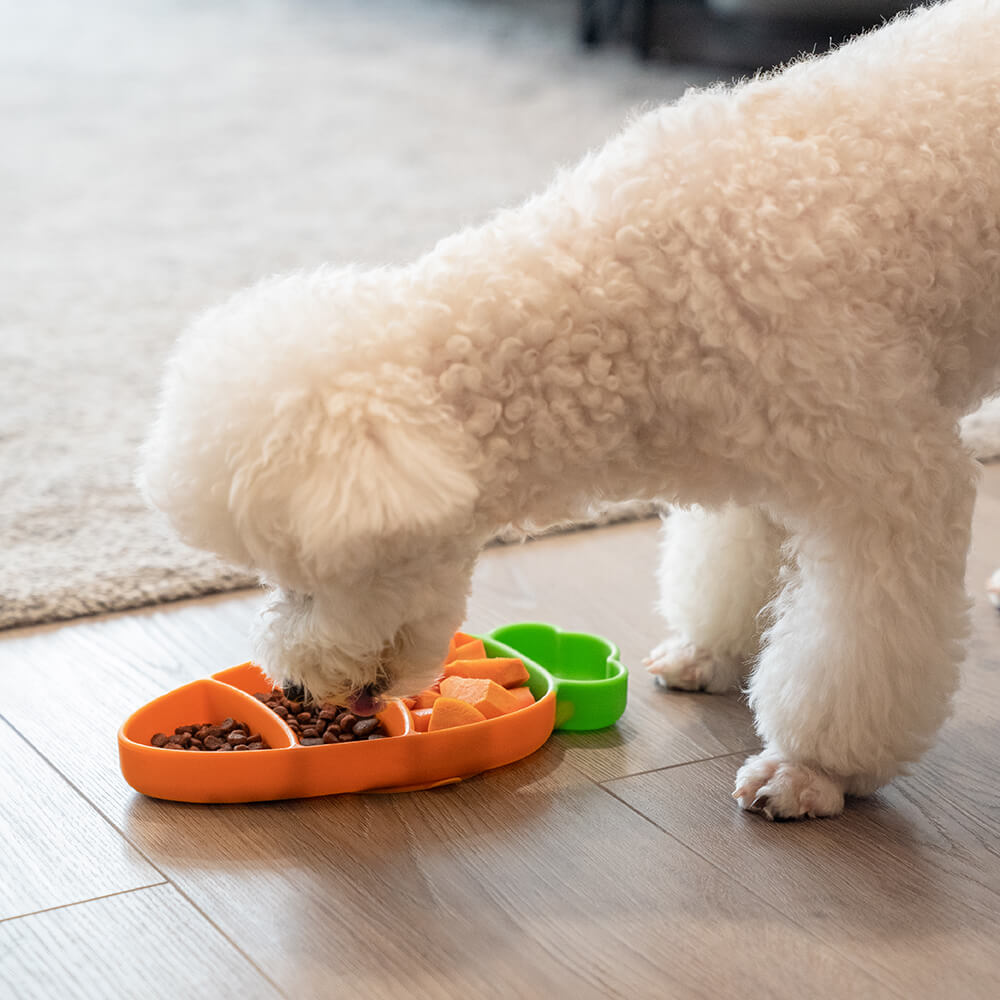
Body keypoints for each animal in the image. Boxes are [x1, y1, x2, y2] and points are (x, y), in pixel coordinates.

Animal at [141, 0, 1000, 820]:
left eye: (305, 579)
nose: (290, 689)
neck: (633, 289)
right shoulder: (748, 460)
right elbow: (728, 568)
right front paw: (713, 651)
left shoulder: (888, 486)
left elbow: (848, 653)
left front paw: (813, 769)